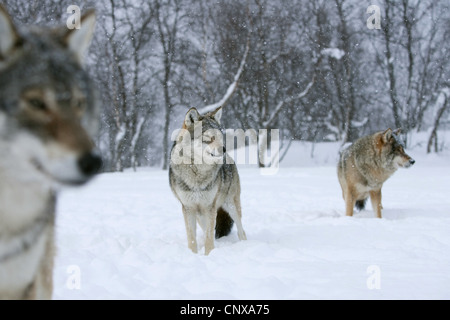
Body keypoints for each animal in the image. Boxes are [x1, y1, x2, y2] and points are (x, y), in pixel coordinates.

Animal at [169, 107, 246, 255]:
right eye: (209, 138)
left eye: (220, 137)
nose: (224, 149)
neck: (197, 172)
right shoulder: (188, 208)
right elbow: (192, 238)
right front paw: (193, 255)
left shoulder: (210, 206)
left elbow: (209, 238)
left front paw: (209, 255)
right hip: (201, 215)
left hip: (230, 205)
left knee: (241, 231)